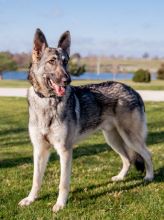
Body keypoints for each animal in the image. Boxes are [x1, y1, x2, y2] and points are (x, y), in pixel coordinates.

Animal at [18, 28, 154, 211]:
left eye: (66, 62)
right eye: (52, 61)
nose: (67, 80)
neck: (47, 102)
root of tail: (134, 90)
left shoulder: (65, 150)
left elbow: (63, 183)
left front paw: (60, 204)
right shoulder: (39, 149)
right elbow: (36, 180)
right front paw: (30, 199)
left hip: (130, 138)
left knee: (147, 155)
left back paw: (149, 177)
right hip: (113, 140)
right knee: (128, 159)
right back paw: (120, 178)